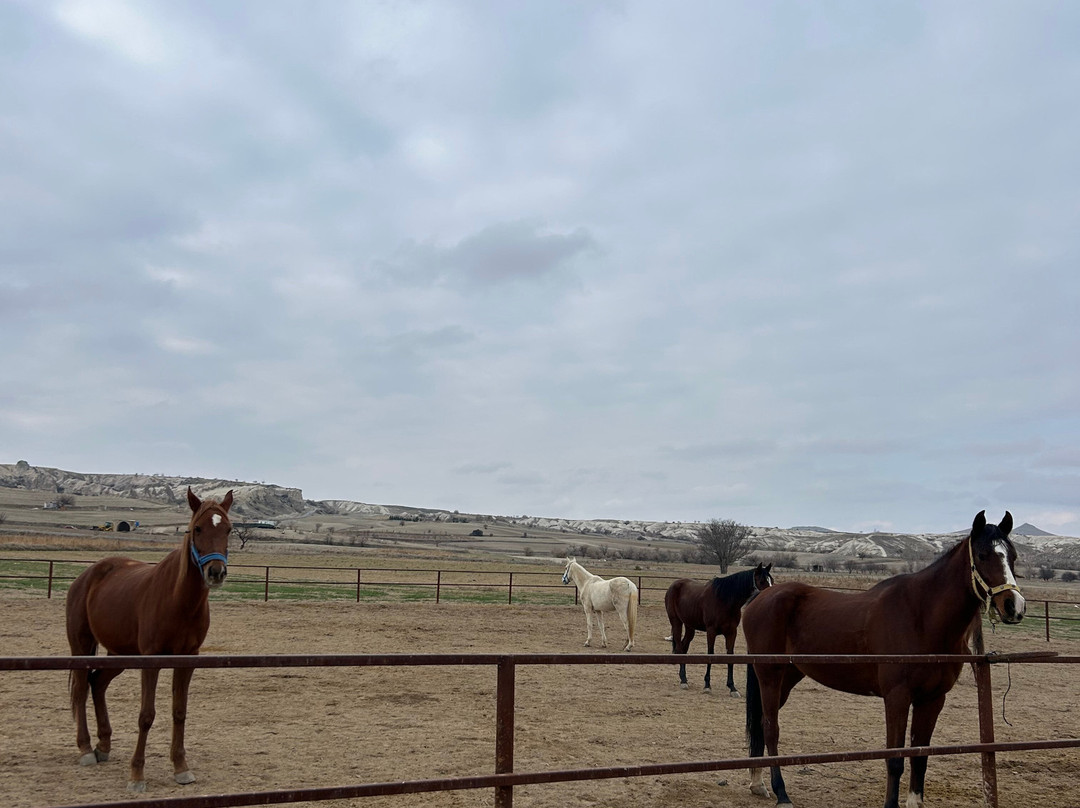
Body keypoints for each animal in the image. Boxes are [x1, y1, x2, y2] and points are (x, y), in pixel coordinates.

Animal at [66, 487, 233, 792]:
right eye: (198, 528)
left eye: (228, 529)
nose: (216, 572)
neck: (178, 600)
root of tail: (87, 576)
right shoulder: (151, 661)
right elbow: (146, 716)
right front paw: (137, 775)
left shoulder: (188, 659)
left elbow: (179, 711)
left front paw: (181, 768)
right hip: (81, 646)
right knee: (82, 688)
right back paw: (85, 749)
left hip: (119, 654)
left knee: (97, 684)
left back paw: (103, 745)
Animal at [665, 562, 773, 694]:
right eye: (762, 581)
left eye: (771, 580)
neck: (725, 601)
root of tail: (674, 585)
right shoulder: (711, 631)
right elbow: (710, 654)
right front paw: (707, 685)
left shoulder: (732, 632)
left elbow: (730, 656)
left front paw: (732, 687)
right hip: (676, 622)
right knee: (680, 647)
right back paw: (683, 681)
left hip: (690, 626)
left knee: (684, 646)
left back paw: (683, 678)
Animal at [743, 511, 1025, 808]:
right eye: (982, 555)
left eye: (1013, 556)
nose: (1014, 606)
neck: (921, 617)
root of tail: (760, 598)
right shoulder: (897, 698)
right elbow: (895, 759)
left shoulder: (932, 699)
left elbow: (920, 756)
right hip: (769, 676)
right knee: (771, 729)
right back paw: (781, 793)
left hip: (788, 677)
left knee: (761, 724)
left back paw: (758, 784)